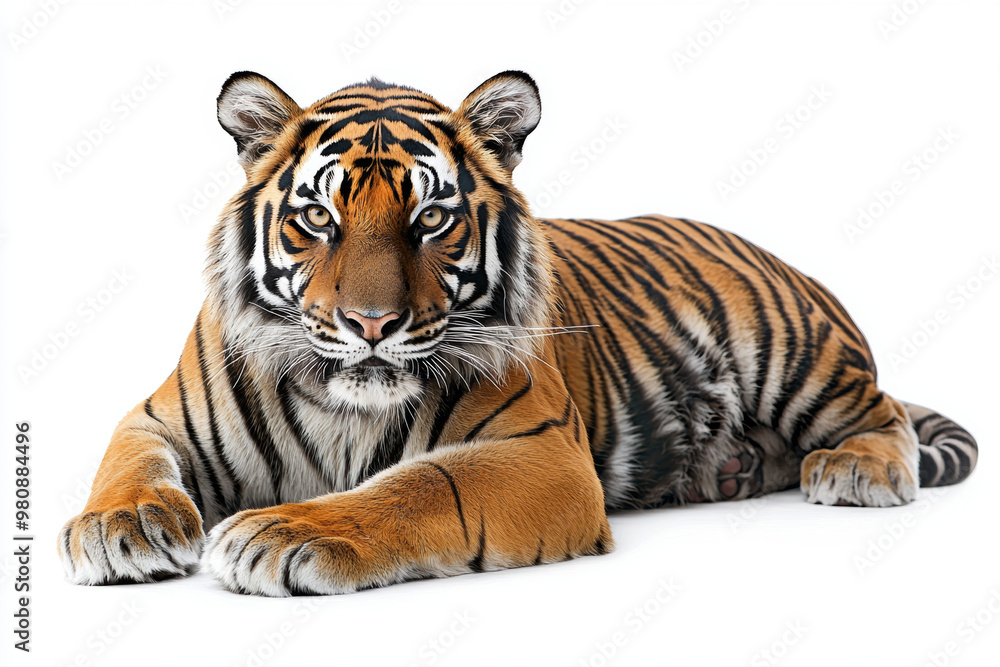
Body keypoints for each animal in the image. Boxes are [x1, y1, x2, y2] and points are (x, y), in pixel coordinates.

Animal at [58, 71, 978, 596]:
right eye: (317, 217)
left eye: (430, 218)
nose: (370, 324)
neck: (341, 406)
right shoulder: (159, 415)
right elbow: (129, 459)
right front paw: (121, 527)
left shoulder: (543, 452)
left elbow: (419, 485)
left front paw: (286, 531)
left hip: (795, 355)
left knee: (880, 413)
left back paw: (855, 470)